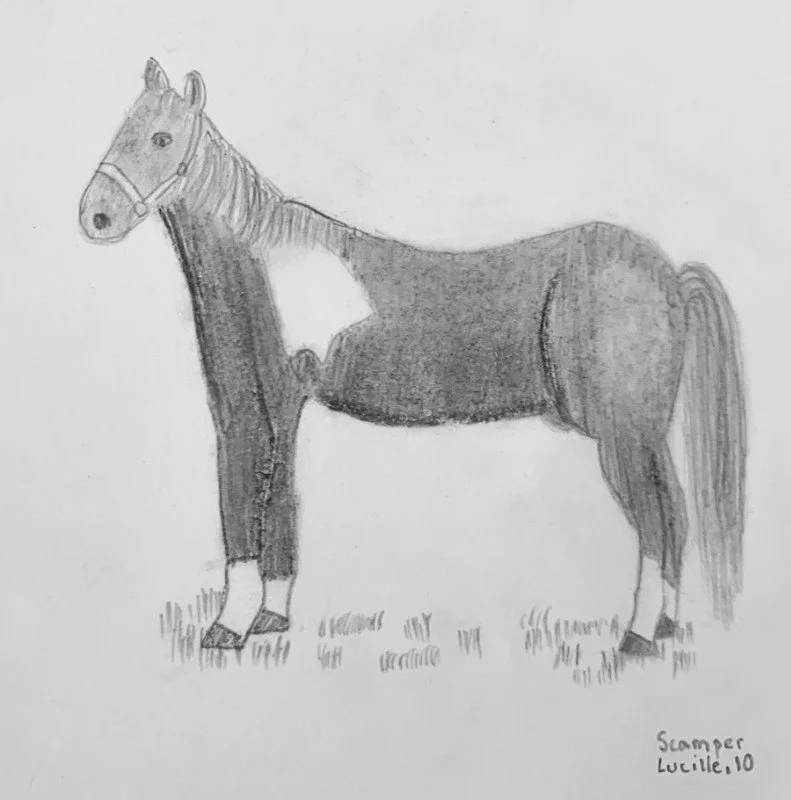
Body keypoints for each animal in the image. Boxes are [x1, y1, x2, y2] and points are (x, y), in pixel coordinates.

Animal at [79, 59, 746, 655]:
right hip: (647, 435)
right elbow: (279, 501)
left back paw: (637, 637)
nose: (96, 216)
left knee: (656, 521)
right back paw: (664, 627)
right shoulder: (256, 408)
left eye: (162, 137)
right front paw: (270, 619)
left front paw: (228, 628)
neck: (267, 265)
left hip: (623, 435)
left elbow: (248, 498)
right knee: (675, 514)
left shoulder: (265, 407)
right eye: (121, 127)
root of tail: (668, 273)